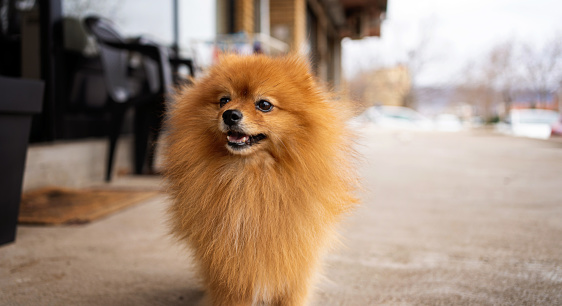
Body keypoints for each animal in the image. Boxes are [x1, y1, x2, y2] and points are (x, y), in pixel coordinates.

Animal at [164, 53, 354, 304]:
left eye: (264, 105)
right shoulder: (230, 277)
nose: (230, 114)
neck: (249, 179)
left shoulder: (294, 271)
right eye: (224, 100)